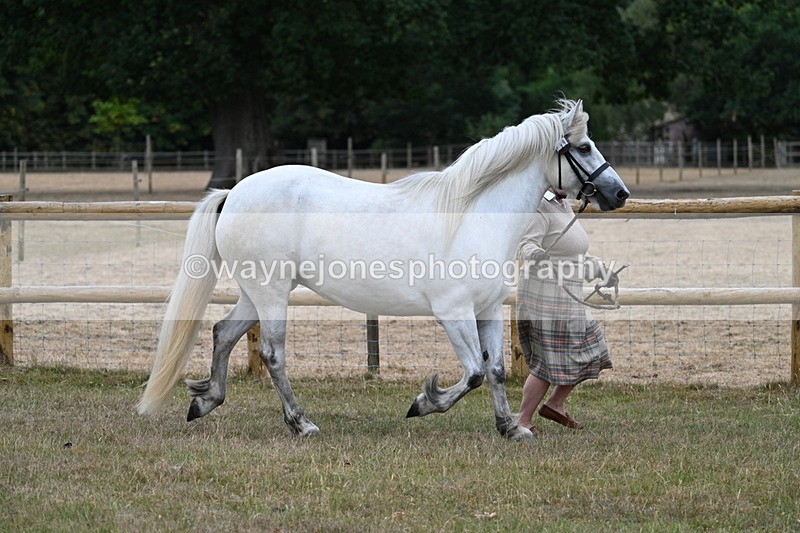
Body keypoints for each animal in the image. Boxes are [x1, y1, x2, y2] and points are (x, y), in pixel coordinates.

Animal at [137, 99, 629, 441]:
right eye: (583, 146)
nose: (619, 193)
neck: (472, 215)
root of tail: (235, 192)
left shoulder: (486, 310)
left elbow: (495, 371)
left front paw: (510, 427)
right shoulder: (453, 313)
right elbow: (472, 372)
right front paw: (424, 402)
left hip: (255, 293)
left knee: (223, 332)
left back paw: (206, 402)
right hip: (272, 293)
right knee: (272, 354)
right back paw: (301, 424)